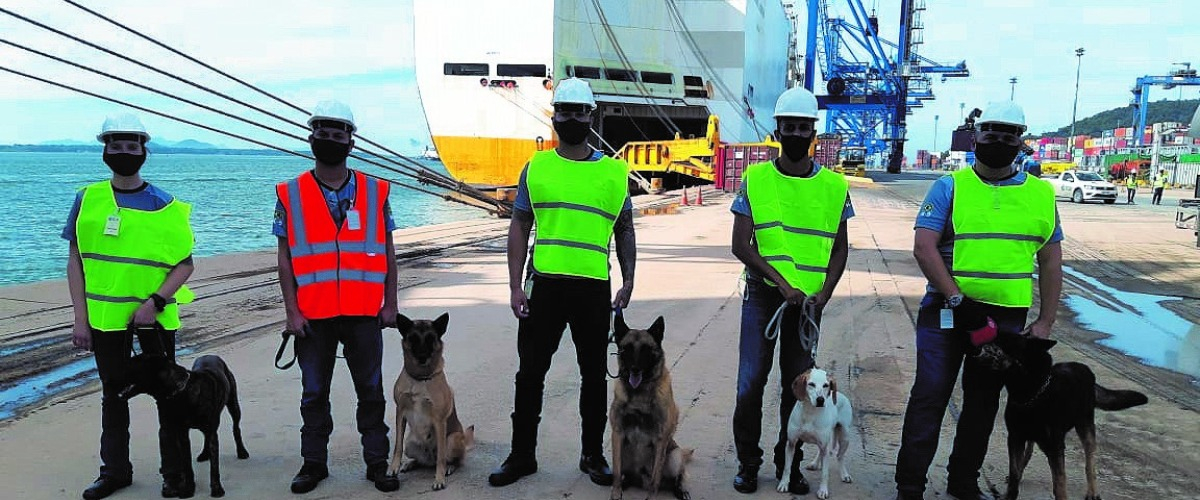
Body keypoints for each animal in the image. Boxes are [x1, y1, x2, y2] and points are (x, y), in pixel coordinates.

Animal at [119, 352, 248, 496]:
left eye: (130, 365)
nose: (109, 379)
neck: (182, 392)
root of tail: (210, 355)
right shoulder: (182, 434)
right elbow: (187, 464)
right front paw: (188, 489)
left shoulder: (212, 431)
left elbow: (214, 467)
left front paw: (216, 488)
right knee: (206, 436)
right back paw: (204, 454)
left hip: (233, 404)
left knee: (236, 428)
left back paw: (242, 451)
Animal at [388, 314, 472, 489]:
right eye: (413, 338)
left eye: (430, 339)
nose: (422, 357)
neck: (420, 379)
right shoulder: (400, 412)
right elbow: (397, 446)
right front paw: (394, 467)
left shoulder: (439, 421)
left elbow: (441, 456)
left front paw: (439, 479)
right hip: (410, 444)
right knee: (421, 461)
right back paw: (410, 464)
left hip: (452, 439)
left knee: (454, 460)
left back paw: (449, 467)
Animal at [609, 316, 696, 498]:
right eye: (627, 349)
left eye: (646, 350)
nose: (635, 369)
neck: (639, 394)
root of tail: (640, 479)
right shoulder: (617, 434)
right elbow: (616, 472)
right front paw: (616, 493)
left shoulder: (661, 439)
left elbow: (655, 478)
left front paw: (651, 497)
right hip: (624, 451)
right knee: (626, 474)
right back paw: (626, 483)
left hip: (674, 456)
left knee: (676, 477)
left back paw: (680, 490)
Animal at [777, 364, 854, 496]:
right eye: (811, 384)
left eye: (826, 385)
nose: (820, 400)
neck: (810, 412)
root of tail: (841, 395)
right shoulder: (791, 443)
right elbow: (787, 468)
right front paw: (784, 484)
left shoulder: (824, 444)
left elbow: (825, 473)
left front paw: (823, 490)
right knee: (822, 452)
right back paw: (815, 463)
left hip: (844, 437)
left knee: (839, 456)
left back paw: (844, 474)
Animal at [974, 330, 1152, 498]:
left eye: (1005, 340)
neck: (1033, 392)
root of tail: (1086, 370)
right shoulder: (1015, 437)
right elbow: (1014, 474)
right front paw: (1010, 492)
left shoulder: (1055, 447)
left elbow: (1059, 484)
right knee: (1029, 451)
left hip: (1085, 427)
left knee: (1090, 462)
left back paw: (1093, 491)